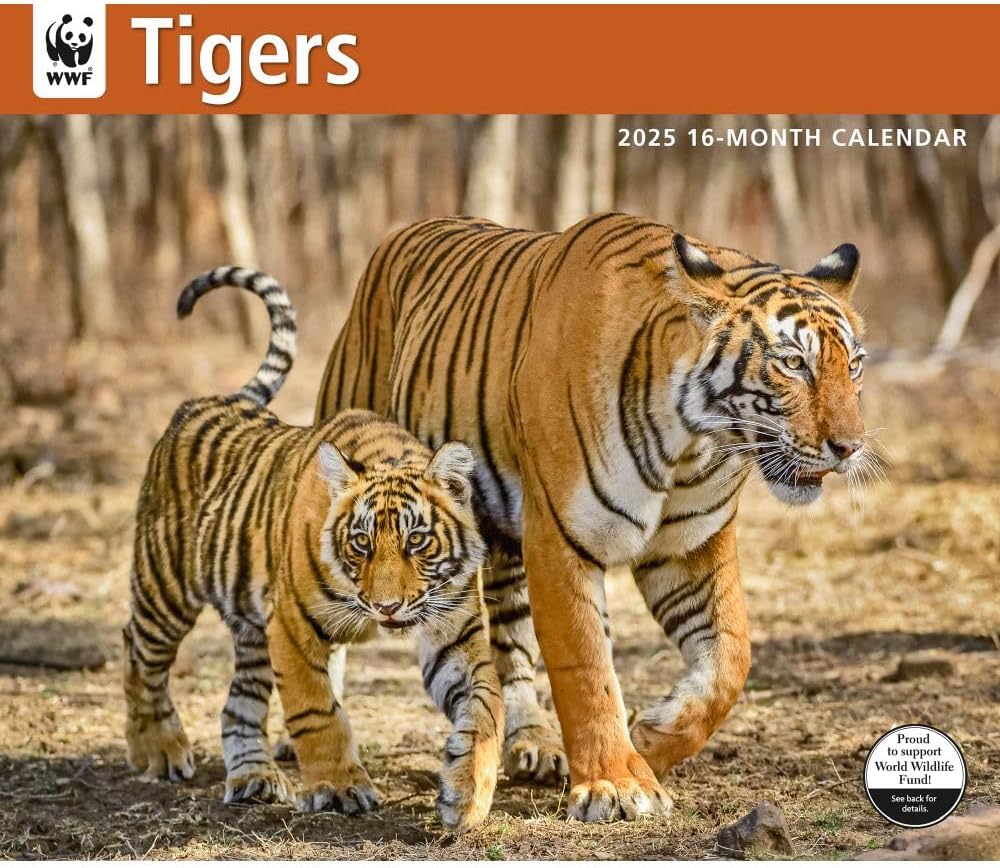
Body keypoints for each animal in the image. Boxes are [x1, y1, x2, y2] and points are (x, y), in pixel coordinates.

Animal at [122, 267, 503, 833]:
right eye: (361, 543)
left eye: (417, 540)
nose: (388, 607)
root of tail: (213, 400)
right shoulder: (293, 628)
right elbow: (317, 710)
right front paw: (340, 788)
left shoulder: (455, 632)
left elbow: (486, 704)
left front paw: (467, 792)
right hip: (166, 586)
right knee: (138, 651)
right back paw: (158, 750)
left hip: (251, 624)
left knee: (238, 705)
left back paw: (253, 778)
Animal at [315, 213, 870, 822]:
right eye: (793, 363)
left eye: (855, 365)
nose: (850, 447)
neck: (691, 441)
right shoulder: (563, 538)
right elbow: (587, 668)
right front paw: (616, 785)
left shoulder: (691, 546)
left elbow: (731, 658)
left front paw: (651, 736)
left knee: (508, 641)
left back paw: (535, 745)